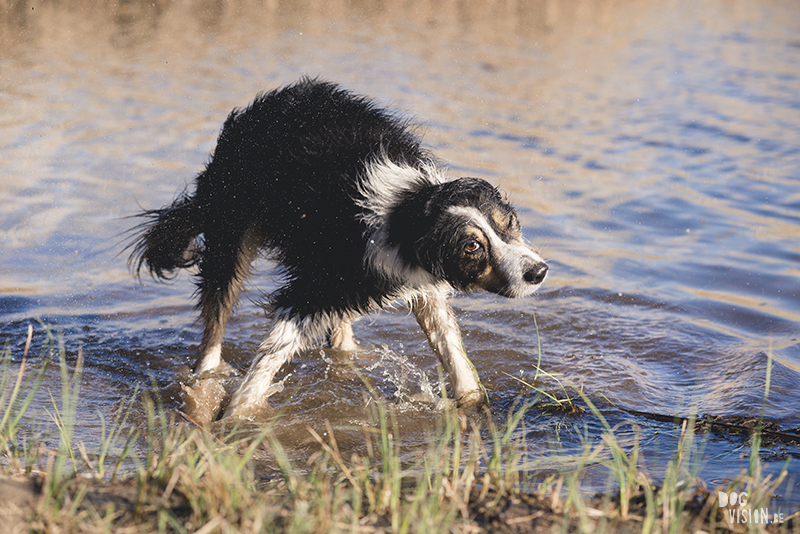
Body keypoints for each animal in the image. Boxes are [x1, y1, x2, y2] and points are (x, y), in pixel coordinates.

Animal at [126, 77, 552, 420]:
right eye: (471, 246)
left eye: (508, 223)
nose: (538, 272)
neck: (405, 211)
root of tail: (253, 112)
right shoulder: (312, 289)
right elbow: (271, 355)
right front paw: (237, 414)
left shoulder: (418, 283)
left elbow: (452, 352)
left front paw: (472, 402)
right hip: (232, 230)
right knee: (217, 316)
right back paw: (206, 378)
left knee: (340, 328)